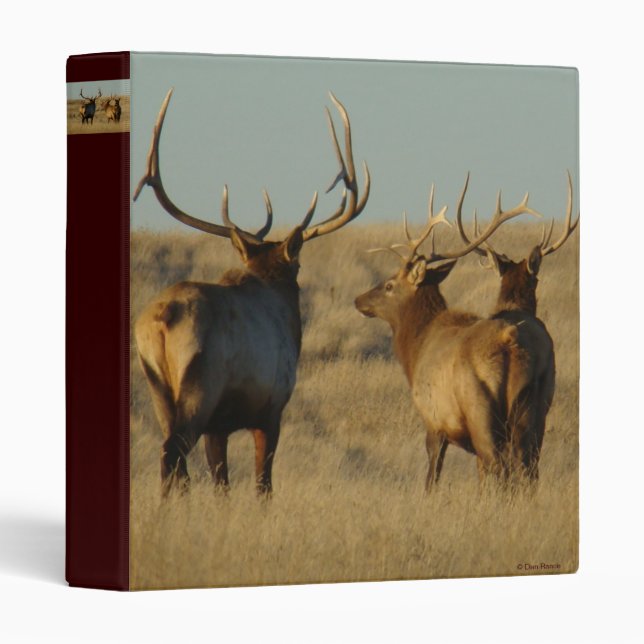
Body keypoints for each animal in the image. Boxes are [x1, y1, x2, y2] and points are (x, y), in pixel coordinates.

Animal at [133, 89, 370, 496]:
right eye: (298, 266)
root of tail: (161, 319)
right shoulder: (271, 408)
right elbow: (263, 486)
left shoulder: (219, 427)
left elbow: (222, 486)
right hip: (200, 384)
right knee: (172, 453)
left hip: (158, 387)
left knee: (175, 462)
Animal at [354, 179, 544, 491]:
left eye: (390, 285)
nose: (359, 300)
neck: (415, 350)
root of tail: (509, 340)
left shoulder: (433, 419)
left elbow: (432, 477)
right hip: (533, 405)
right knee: (528, 468)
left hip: (480, 408)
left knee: (500, 467)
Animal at [454, 172, 579, 479]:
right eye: (536, 279)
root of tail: (508, 339)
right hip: (528, 400)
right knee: (524, 460)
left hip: (482, 406)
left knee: (491, 461)